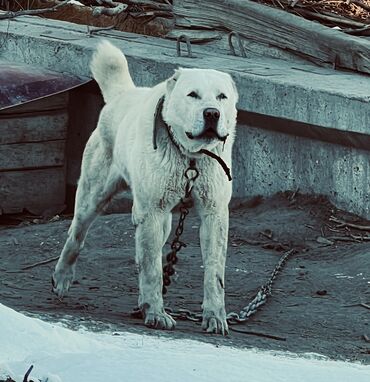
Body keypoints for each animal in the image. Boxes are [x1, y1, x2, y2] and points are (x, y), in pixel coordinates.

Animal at [51, 41, 237, 334]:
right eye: (192, 95)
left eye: (221, 97)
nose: (211, 113)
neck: (190, 157)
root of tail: (122, 95)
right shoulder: (151, 212)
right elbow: (152, 270)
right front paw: (157, 314)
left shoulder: (214, 214)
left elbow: (214, 271)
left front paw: (215, 316)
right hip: (94, 196)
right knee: (76, 234)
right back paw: (62, 277)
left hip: (164, 222)